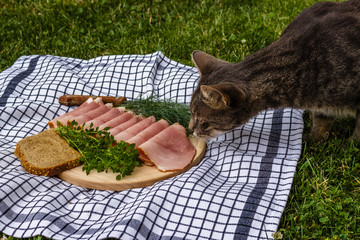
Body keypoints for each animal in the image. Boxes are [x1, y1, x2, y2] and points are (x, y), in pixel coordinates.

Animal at [188, 0, 360, 142]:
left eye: (203, 123)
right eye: (191, 112)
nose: (190, 129)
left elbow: (357, 134)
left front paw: (349, 145)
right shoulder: (323, 108)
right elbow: (321, 123)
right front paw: (314, 142)